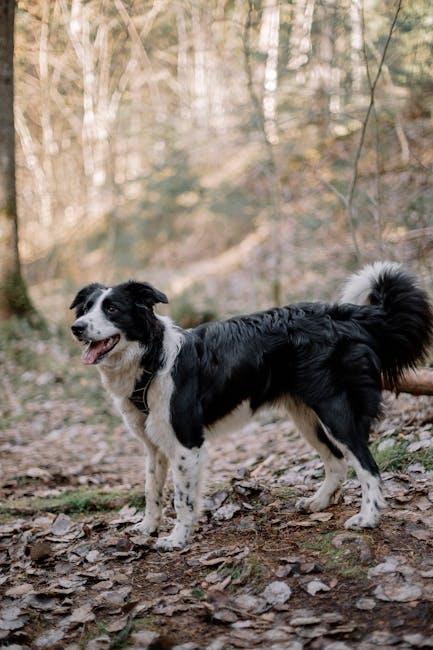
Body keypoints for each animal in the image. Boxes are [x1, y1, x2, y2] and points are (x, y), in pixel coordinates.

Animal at [69, 260, 430, 548]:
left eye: (112, 309)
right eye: (85, 309)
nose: (76, 328)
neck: (152, 361)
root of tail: (342, 315)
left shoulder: (186, 443)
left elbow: (182, 499)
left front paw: (177, 539)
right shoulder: (154, 446)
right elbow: (151, 491)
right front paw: (147, 527)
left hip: (335, 411)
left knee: (367, 464)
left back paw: (367, 518)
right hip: (306, 416)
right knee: (337, 461)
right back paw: (319, 502)